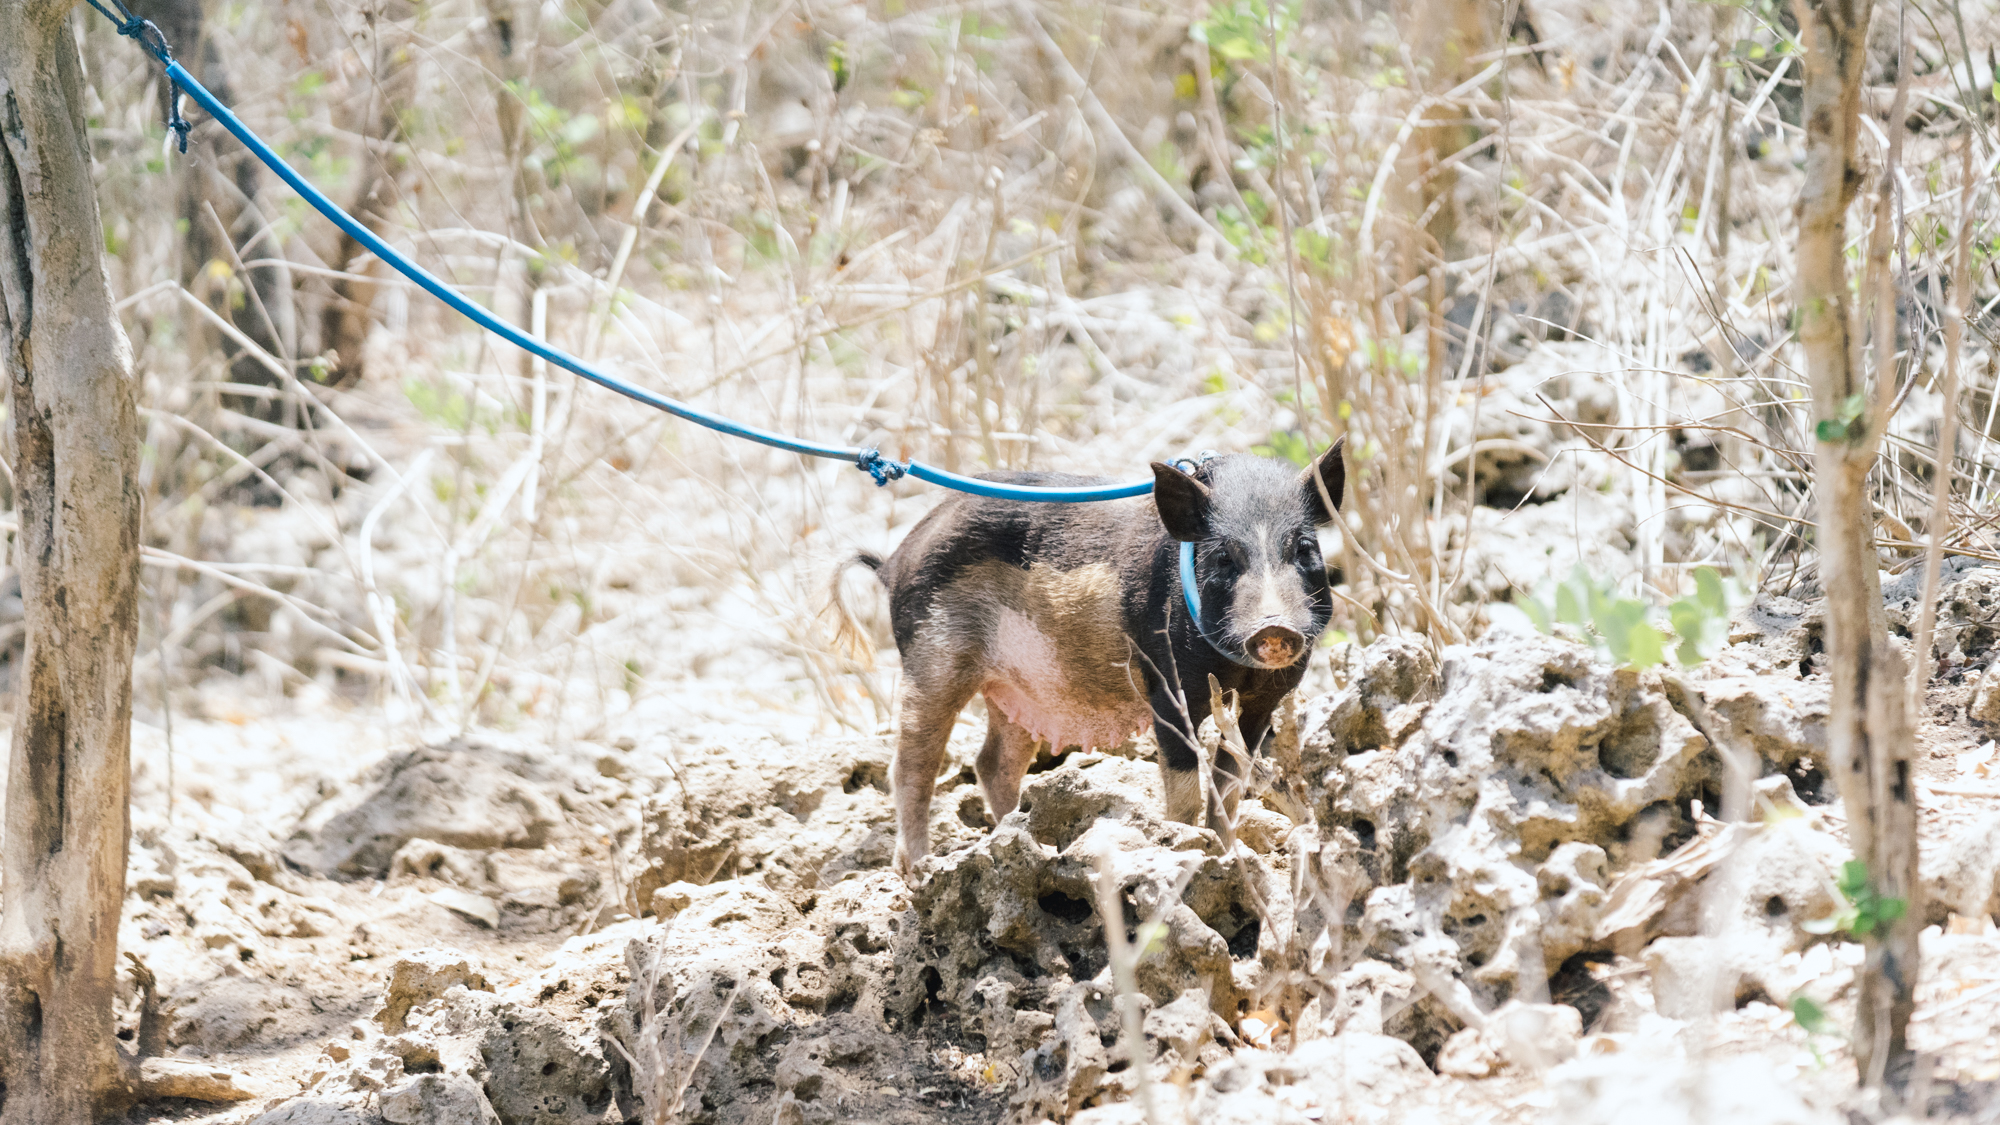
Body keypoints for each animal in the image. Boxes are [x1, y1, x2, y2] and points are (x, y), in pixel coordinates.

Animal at [828, 438, 1344, 876]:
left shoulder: (1265, 700)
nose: (1274, 627)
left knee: (992, 762)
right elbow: (1183, 784)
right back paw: (919, 870)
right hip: (930, 655)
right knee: (911, 766)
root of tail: (895, 562)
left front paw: (1229, 853)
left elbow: (1229, 785)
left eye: (1303, 547)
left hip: (1018, 687)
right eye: (1223, 557)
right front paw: (1187, 847)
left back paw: (1020, 839)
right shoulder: (1166, 682)